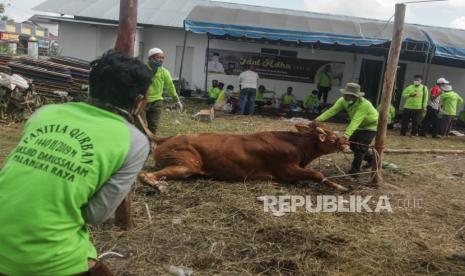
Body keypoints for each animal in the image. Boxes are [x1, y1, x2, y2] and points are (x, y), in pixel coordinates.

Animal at [138, 122, 348, 191]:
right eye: (330, 137)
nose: (346, 140)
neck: (296, 146)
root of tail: (166, 138)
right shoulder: (286, 170)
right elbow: (317, 174)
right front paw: (341, 186)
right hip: (187, 164)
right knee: (143, 175)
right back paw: (157, 185)